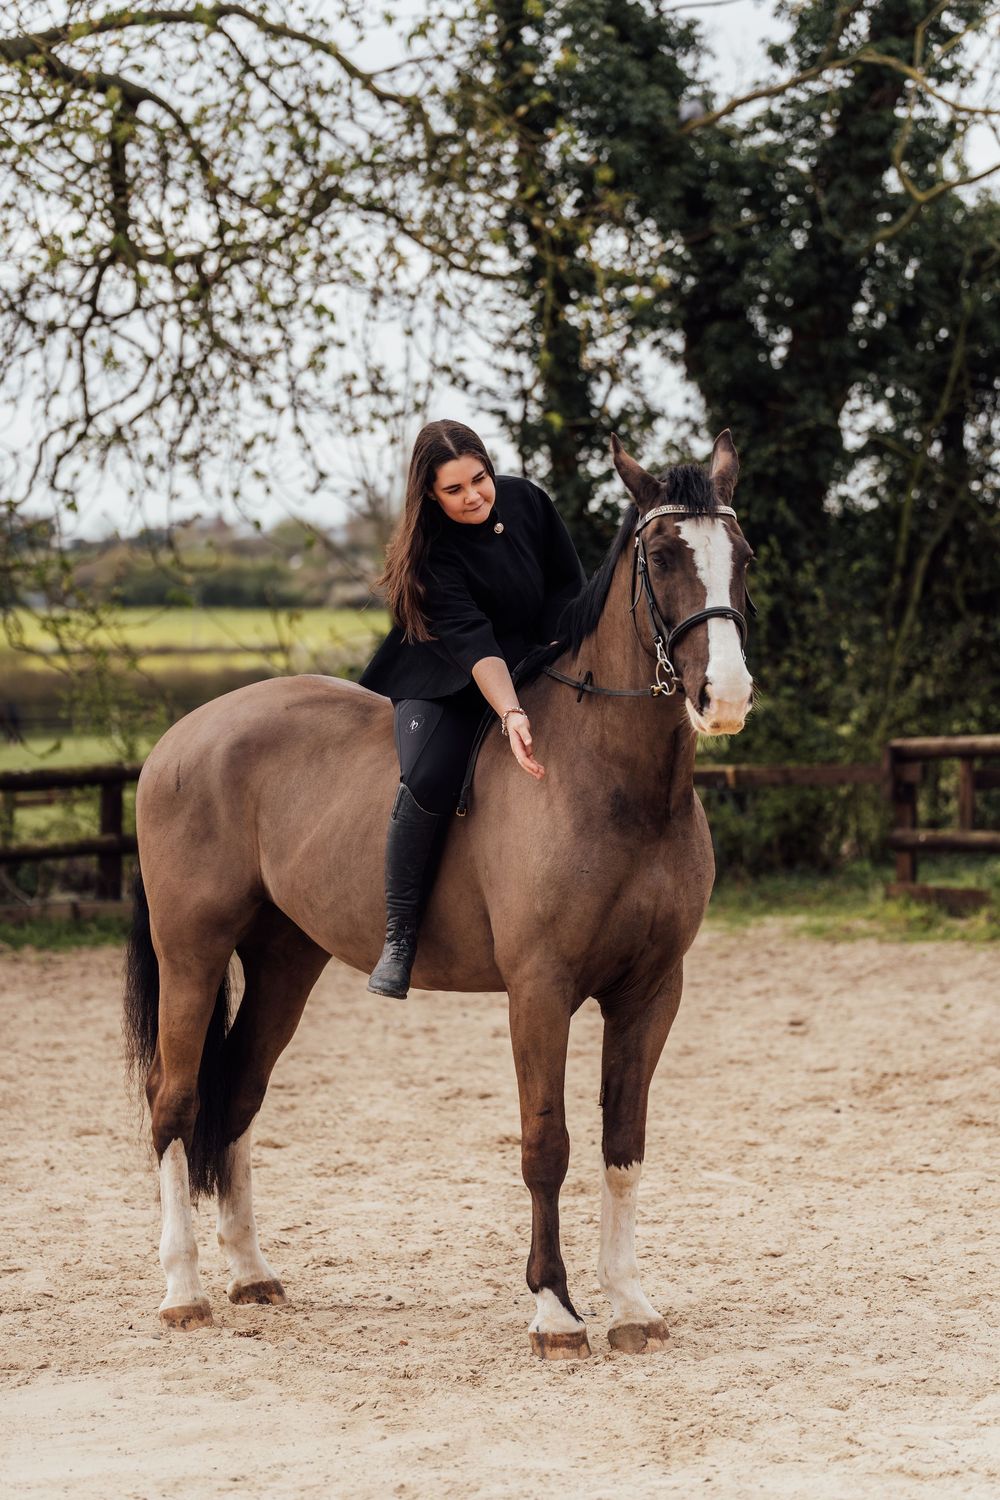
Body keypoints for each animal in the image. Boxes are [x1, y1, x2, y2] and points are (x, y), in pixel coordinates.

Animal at [123, 429, 754, 1359]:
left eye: (742, 556)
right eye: (665, 556)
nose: (726, 698)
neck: (614, 779)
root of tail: (183, 736)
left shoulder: (650, 991)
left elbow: (624, 1145)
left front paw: (630, 1305)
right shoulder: (540, 990)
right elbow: (546, 1143)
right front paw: (554, 1311)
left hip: (285, 958)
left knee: (236, 1090)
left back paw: (250, 1273)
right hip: (191, 952)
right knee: (173, 1098)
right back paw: (184, 1290)